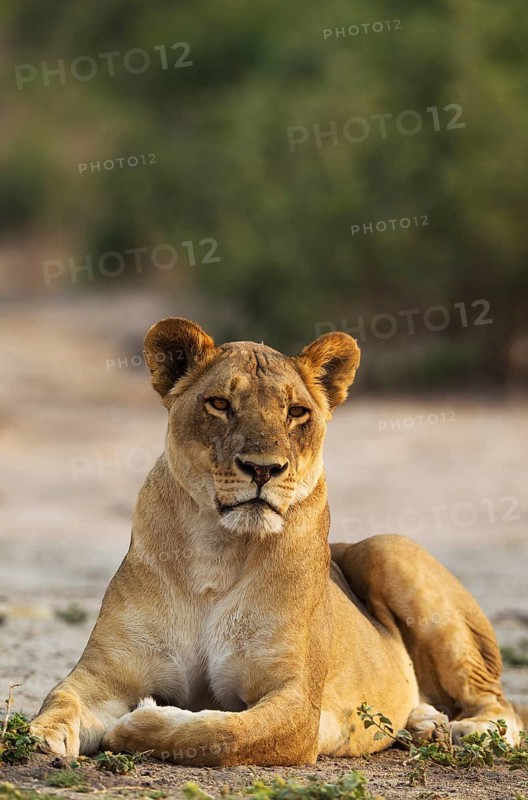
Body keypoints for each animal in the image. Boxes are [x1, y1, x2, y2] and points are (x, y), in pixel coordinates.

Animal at [31, 317, 524, 765]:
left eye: (297, 412)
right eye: (220, 403)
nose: (263, 468)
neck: (217, 551)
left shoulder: (298, 701)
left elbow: (221, 734)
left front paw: (138, 724)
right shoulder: (106, 672)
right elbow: (61, 697)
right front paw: (40, 737)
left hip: (388, 550)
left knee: (500, 703)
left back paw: (467, 730)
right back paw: (424, 723)